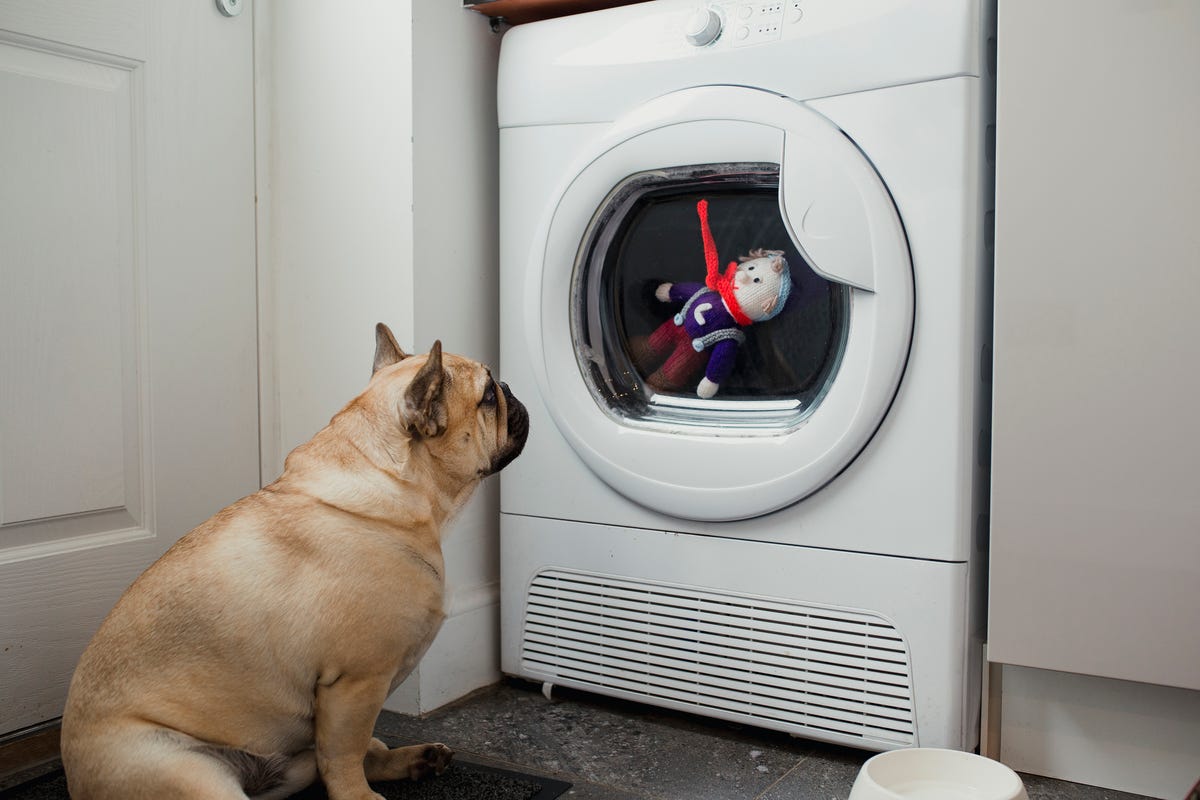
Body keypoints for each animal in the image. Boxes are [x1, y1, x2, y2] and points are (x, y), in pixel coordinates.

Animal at [60, 326, 530, 800]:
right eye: (488, 396)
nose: (509, 386)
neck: (393, 484)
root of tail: (75, 779)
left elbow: (353, 749)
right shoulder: (355, 684)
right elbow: (343, 755)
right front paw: (357, 797)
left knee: (357, 754)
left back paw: (416, 758)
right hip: (194, 776)